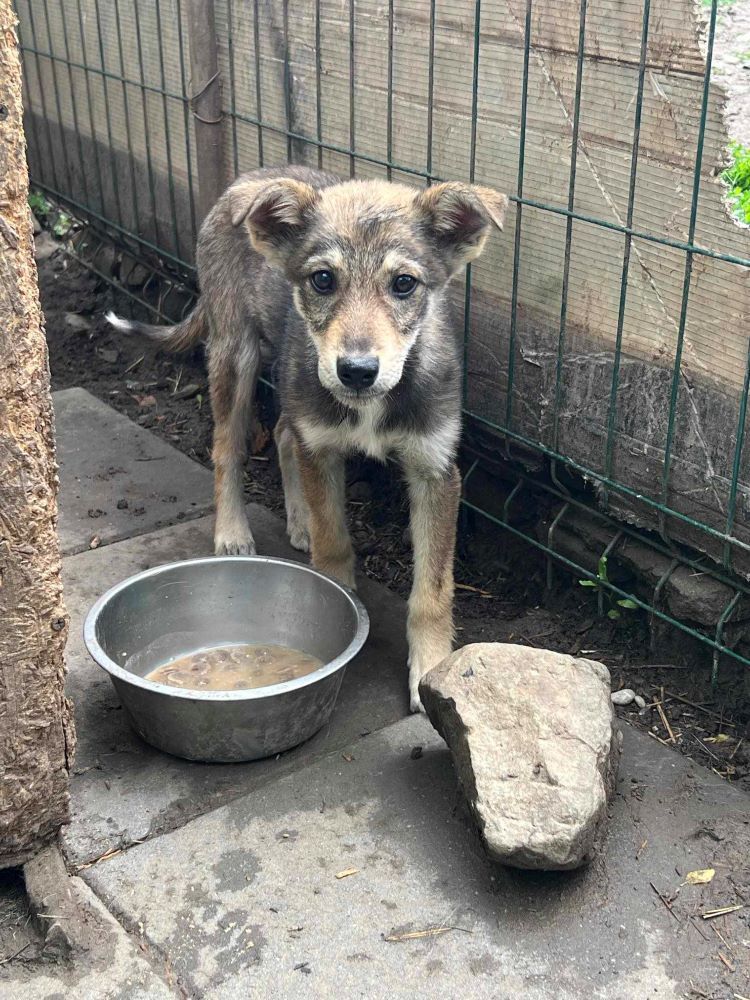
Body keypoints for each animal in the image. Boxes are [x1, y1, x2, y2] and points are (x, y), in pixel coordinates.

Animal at [108, 166, 508, 712]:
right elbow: (333, 544)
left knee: (281, 432)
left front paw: (428, 669)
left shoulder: (435, 470)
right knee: (228, 448)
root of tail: (249, 180)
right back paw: (233, 531)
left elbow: (432, 589)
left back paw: (297, 521)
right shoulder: (322, 446)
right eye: (323, 279)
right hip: (235, 352)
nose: (356, 371)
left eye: (404, 284)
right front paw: (341, 619)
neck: (371, 404)